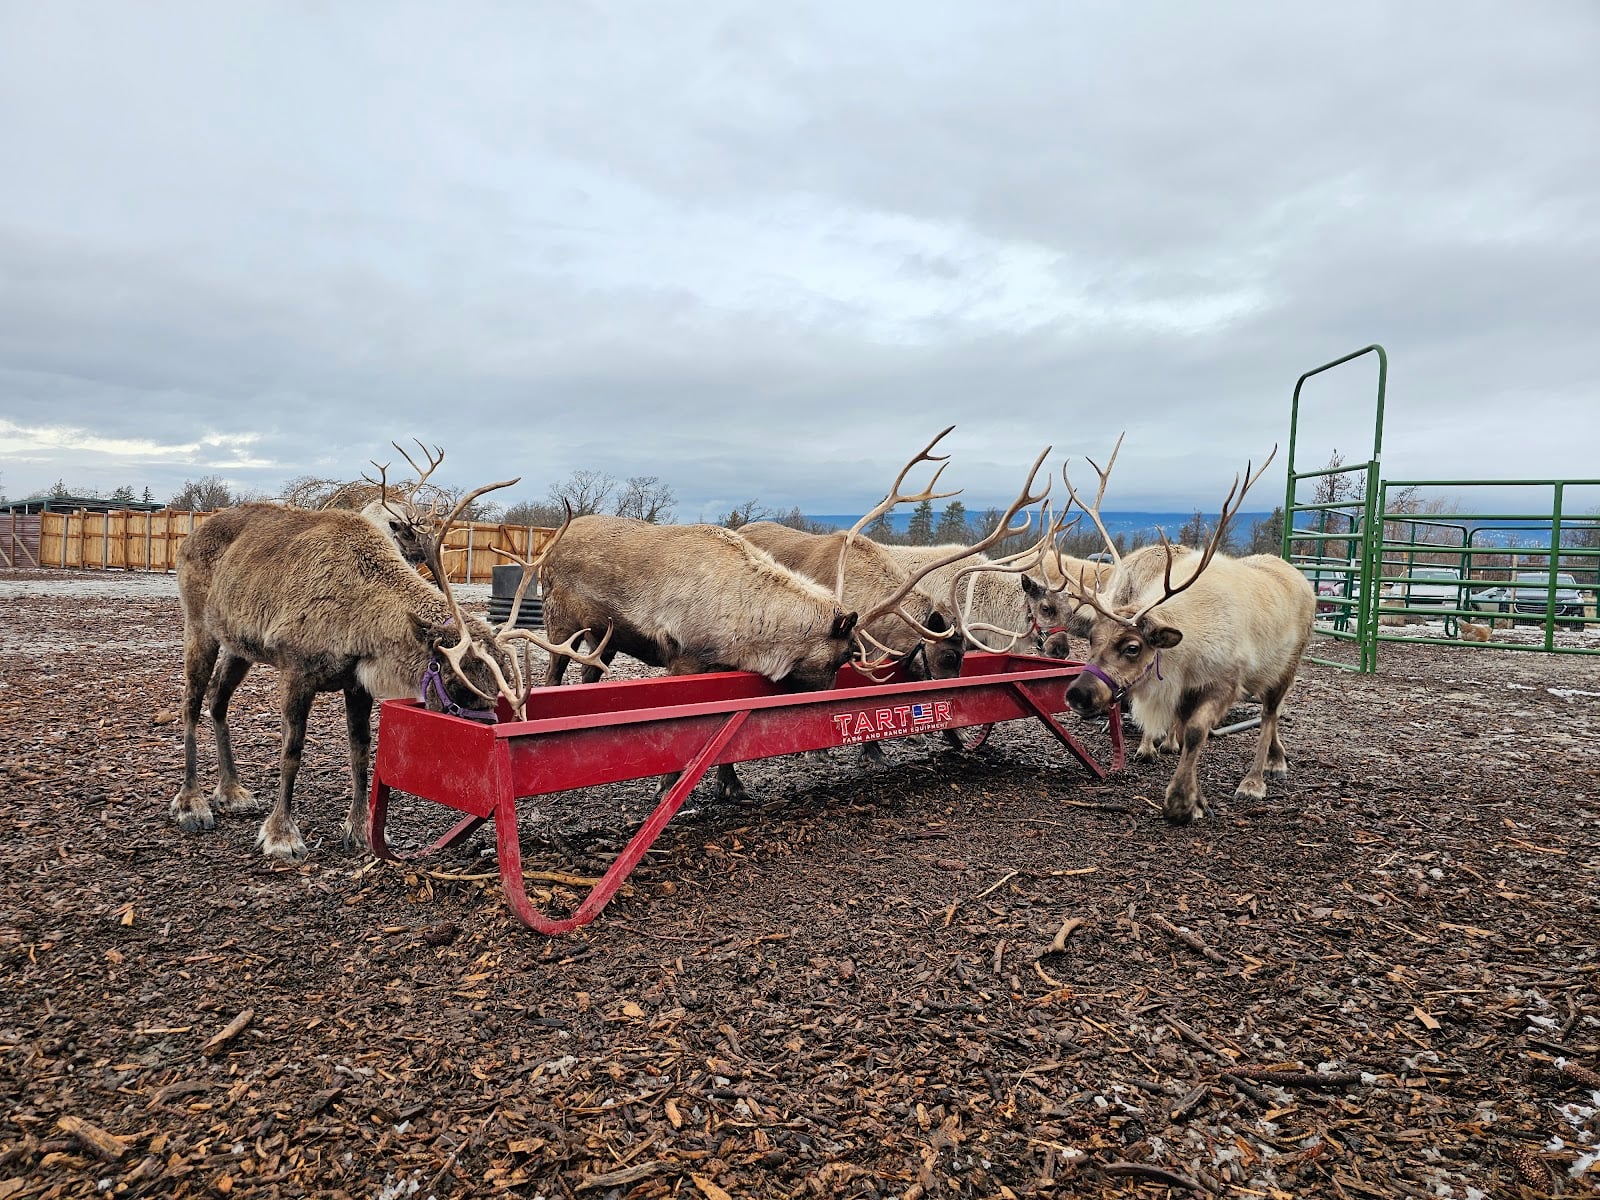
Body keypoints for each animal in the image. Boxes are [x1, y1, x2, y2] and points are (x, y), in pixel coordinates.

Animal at [171, 479, 606, 861]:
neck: (361, 609)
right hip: (199, 626)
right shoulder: (296, 670)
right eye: (455, 681)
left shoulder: (356, 684)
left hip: (238, 646)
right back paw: (192, 803)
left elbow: (361, 750)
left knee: (217, 700)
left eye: (494, 687)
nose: (487, 735)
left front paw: (360, 831)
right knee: (191, 702)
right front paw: (281, 835)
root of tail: (189, 538)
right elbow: (291, 752)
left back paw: (231, 791)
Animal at [1055, 436, 1315, 824]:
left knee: (1270, 713)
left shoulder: (1224, 684)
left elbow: (1195, 733)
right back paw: (1277, 758)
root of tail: (1299, 575)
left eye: (1132, 647)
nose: (1078, 694)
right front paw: (1197, 795)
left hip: (1288, 666)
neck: (1186, 653)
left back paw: (1255, 780)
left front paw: (1181, 802)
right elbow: (1182, 731)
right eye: (1091, 638)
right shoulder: (1182, 690)